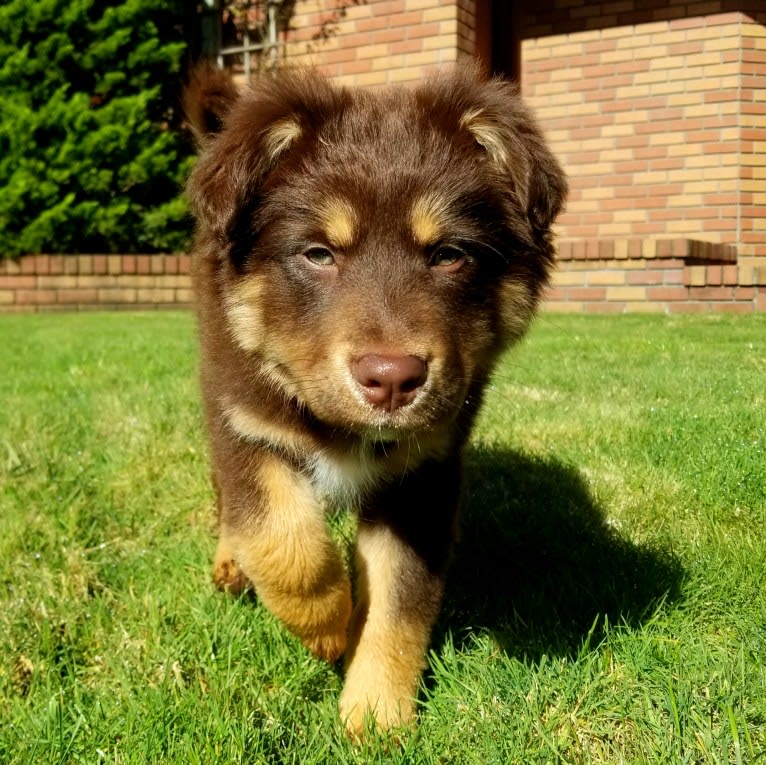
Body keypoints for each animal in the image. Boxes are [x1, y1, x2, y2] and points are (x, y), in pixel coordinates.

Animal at [185, 64, 568, 736]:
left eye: (448, 254)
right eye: (318, 253)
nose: (392, 379)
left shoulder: (423, 474)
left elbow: (399, 599)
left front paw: (376, 712)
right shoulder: (241, 417)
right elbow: (280, 536)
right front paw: (327, 627)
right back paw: (231, 564)